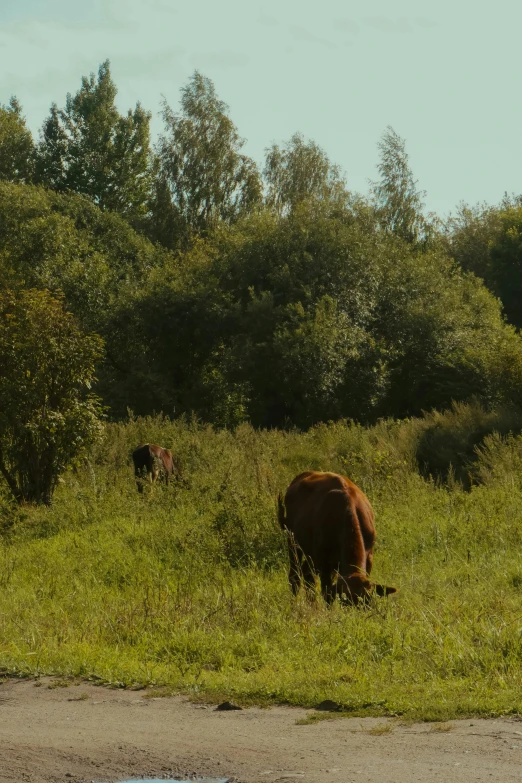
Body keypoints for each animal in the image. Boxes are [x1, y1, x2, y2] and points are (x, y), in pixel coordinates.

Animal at [276, 472, 394, 608]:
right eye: (345, 601)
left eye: (367, 599)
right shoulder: (325, 564)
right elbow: (327, 594)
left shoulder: (369, 557)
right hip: (293, 544)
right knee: (295, 576)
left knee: (307, 576)